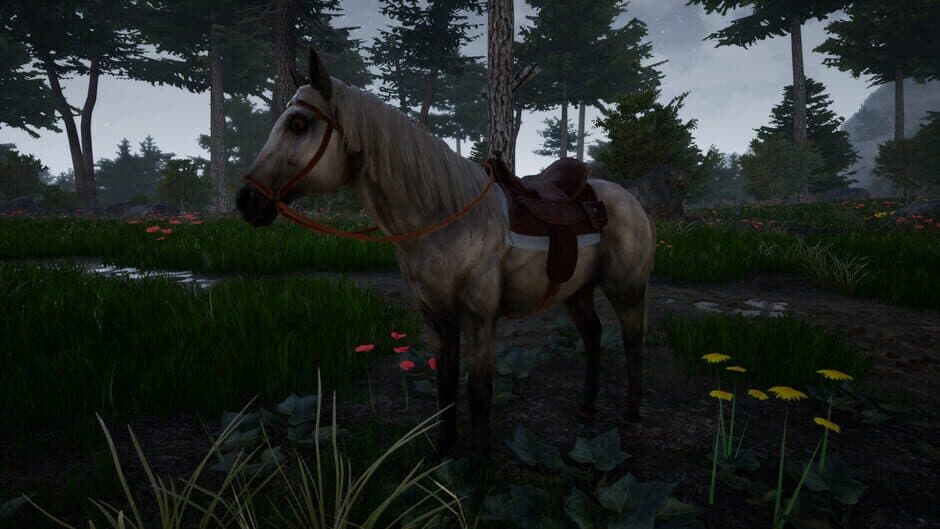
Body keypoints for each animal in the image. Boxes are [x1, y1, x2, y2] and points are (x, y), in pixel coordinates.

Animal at [236, 49, 655, 459]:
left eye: (298, 124)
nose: (246, 201)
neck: (444, 218)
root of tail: (626, 198)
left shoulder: (480, 318)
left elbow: (480, 394)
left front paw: (479, 470)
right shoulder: (438, 316)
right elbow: (446, 386)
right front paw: (445, 456)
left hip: (627, 289)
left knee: (633, 340)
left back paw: (633, 416)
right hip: (577, 290)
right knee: (593, 334)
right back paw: (586, 408)